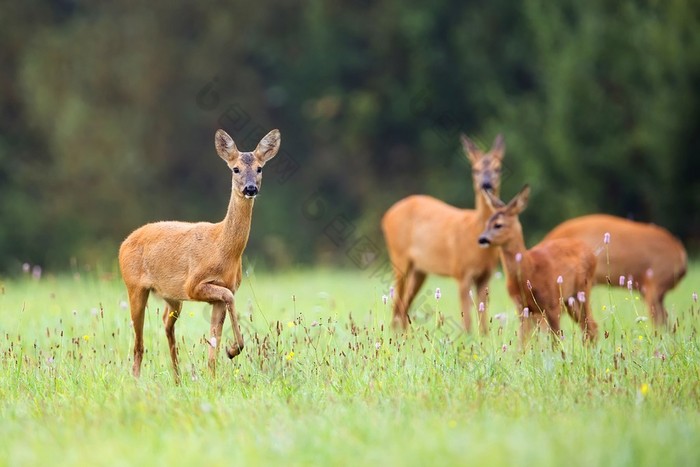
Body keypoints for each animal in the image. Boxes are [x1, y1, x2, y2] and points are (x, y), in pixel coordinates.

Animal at [117, 129, 278, 384]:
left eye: (260, 168)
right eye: (235, 169)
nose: (250, 188)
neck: (222, 248)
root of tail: (124, 243)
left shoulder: (221, 292)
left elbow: (214, 340)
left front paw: (214, 374)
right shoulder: (194, 285)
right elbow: (227, 304)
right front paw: (233, 350)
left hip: (171, 296)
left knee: (166, 323)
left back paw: (177, 378)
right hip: (134, 287)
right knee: (138, 343)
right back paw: (137, 381)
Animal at [380, 133, 506, 334]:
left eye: (498, 168)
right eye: (475, 170)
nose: (486, 184)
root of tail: (387, 215)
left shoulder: (486, 275)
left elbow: (483, 322)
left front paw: (484, 338)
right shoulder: (462, 271)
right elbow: (467, 321)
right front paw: (467, 337)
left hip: (419, 269)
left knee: (404, 303)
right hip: (398, 257)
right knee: (397, 302)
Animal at [478, 186, 600, 344]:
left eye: (498, 225)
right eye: (487, 222)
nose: (482, 239)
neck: (530, 270)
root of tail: (592, 253)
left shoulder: (552, 304)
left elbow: (556, 340)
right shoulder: (523, 308)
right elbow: (522, 342)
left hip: (582, 290)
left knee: (591, 326)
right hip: (569, 300)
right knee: (588, 326)